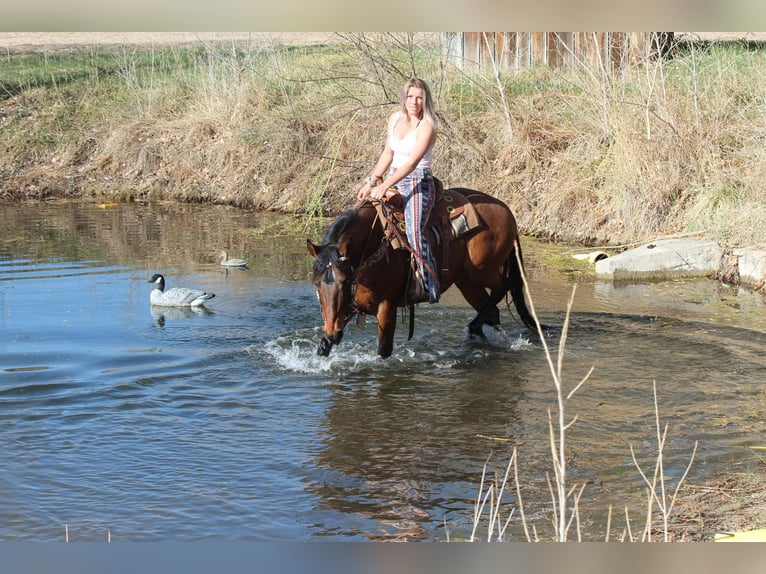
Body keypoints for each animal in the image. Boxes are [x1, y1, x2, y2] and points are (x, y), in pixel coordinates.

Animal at [307, 183, 539, 358]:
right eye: (317, 284)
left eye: (346, 281)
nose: (333, 335)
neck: (372, 247)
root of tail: (506, 210)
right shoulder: (341, 312)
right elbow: (323, 347)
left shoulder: (387, 307)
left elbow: (383, 351)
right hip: (467, 281)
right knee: (492, 311)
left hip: (482, 271)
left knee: (505, 285)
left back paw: (474, 328)